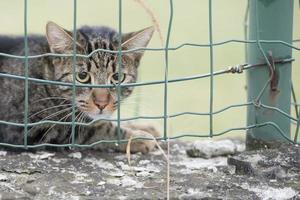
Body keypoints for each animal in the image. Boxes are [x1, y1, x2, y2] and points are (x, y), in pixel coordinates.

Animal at [0, 21, 159, 153]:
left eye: (117, 77)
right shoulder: (29, 127)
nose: (102, 103)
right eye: (82, 76)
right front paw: (136, 137)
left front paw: (141, 126)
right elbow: (96, 129)